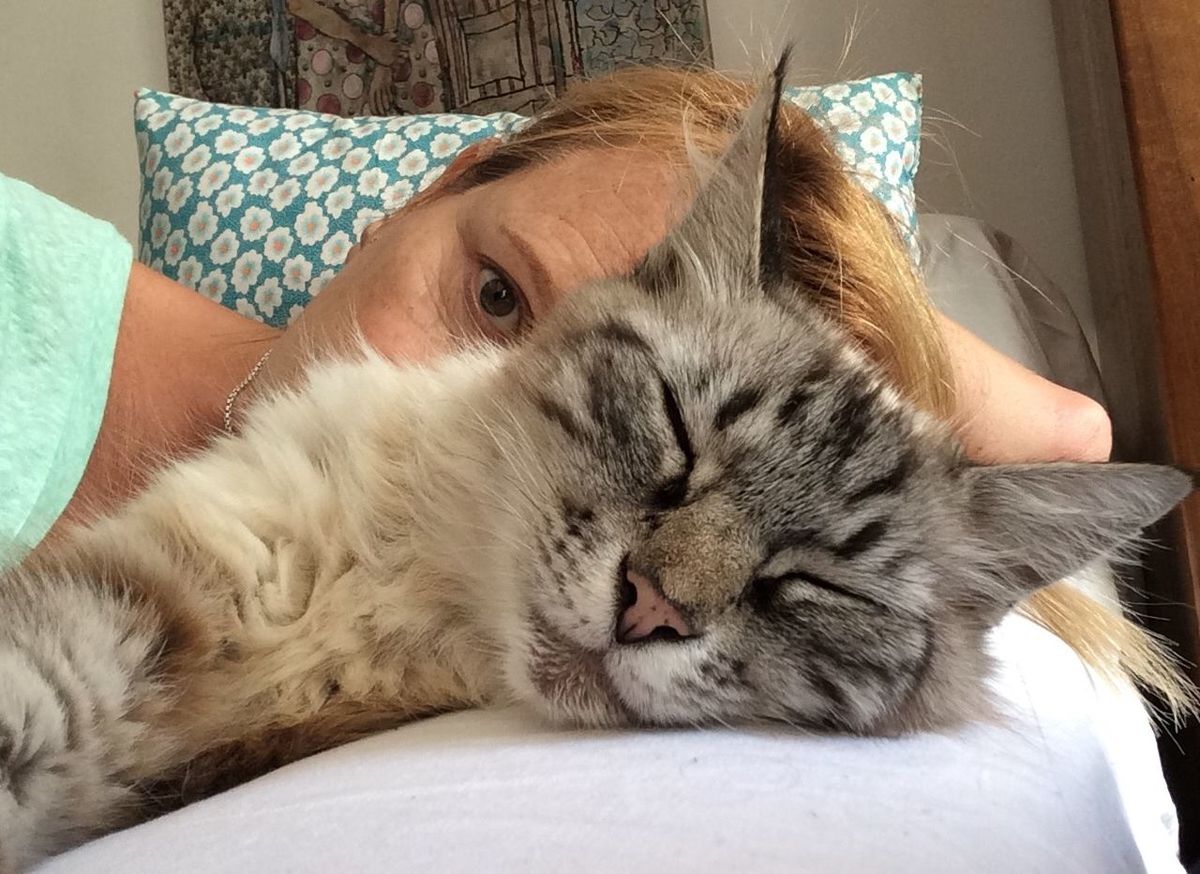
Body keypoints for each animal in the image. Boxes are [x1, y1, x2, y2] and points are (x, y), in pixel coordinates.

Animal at [0, 57, 1190, 869]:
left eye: (808, 584)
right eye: (676, 436)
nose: (649, 609)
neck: (409, 595)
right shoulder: (160, 586)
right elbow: (33, 702)